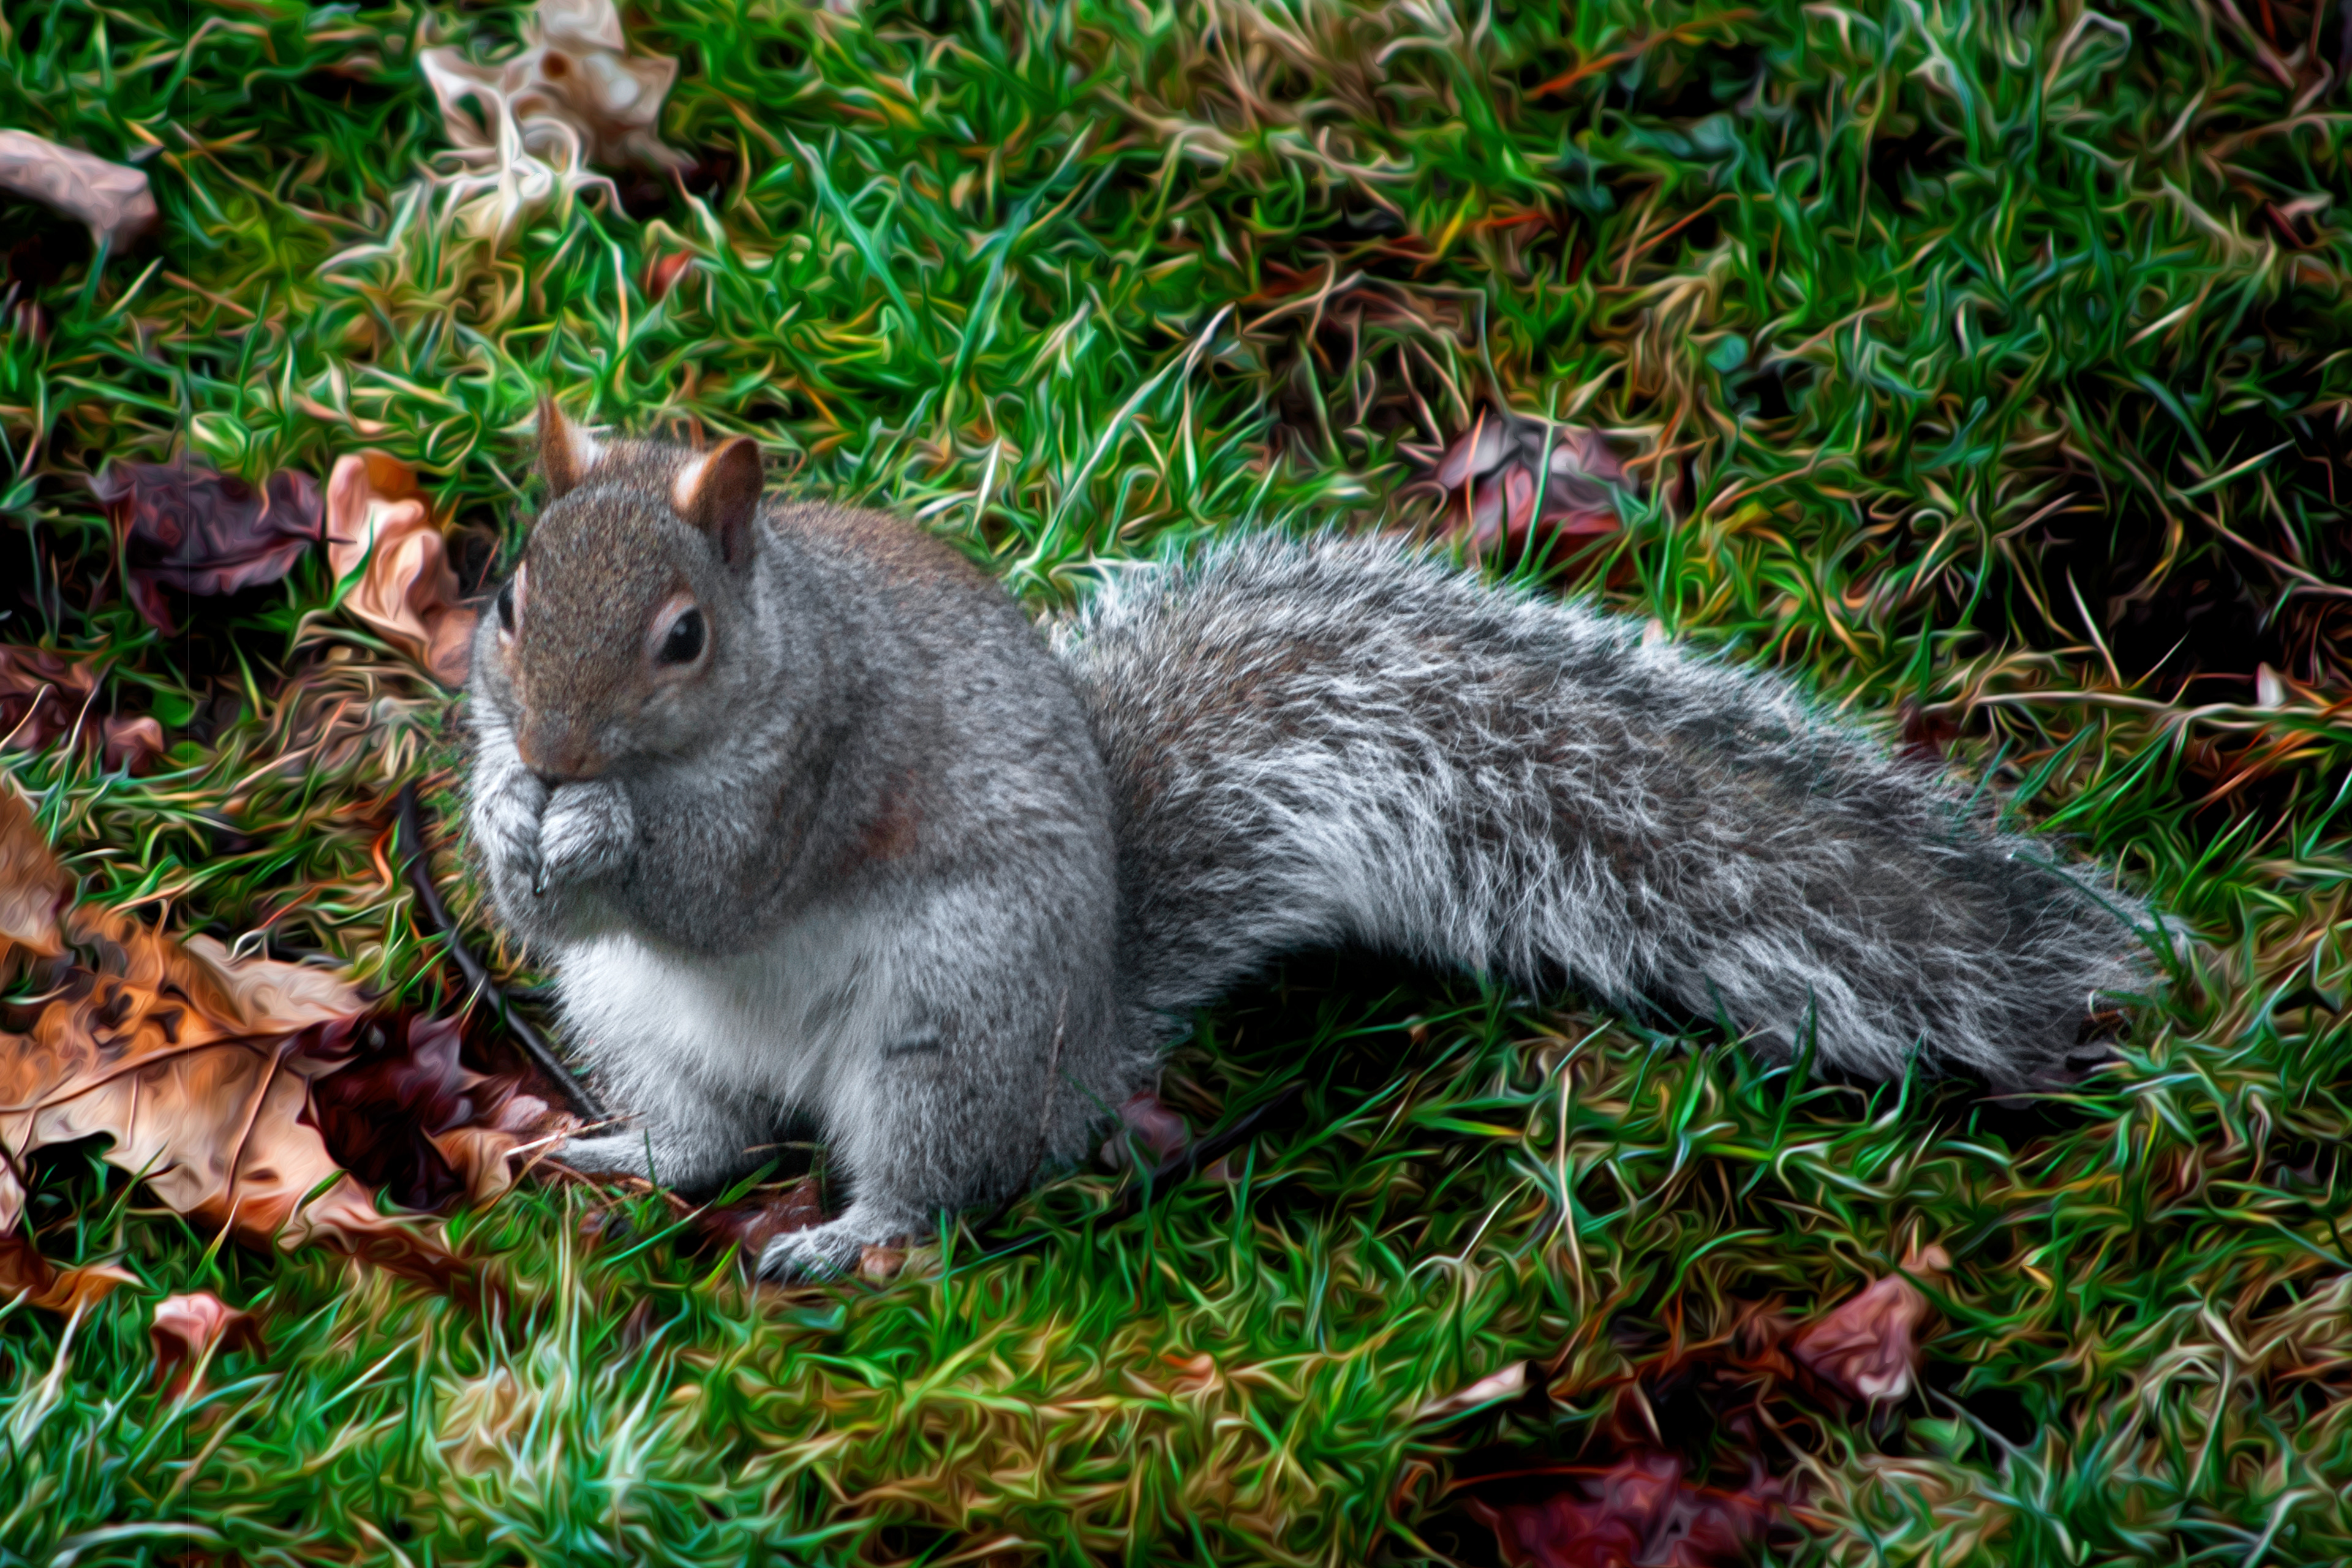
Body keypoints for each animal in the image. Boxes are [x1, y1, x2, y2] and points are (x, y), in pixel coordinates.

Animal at [466, 398, 2154, 1278]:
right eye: (505, 594)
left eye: (684, 636)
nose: (551, 752)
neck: (769, 654)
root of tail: (1081, 1045)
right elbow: (540, 909)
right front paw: (503, 819)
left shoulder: (831, 751)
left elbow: (723, 874)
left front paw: (603, 825)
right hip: (641, 1020)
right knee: (711, 1142)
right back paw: (619, 1149)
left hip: (951, 1021)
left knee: (946, 1187)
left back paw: (848, 1235)